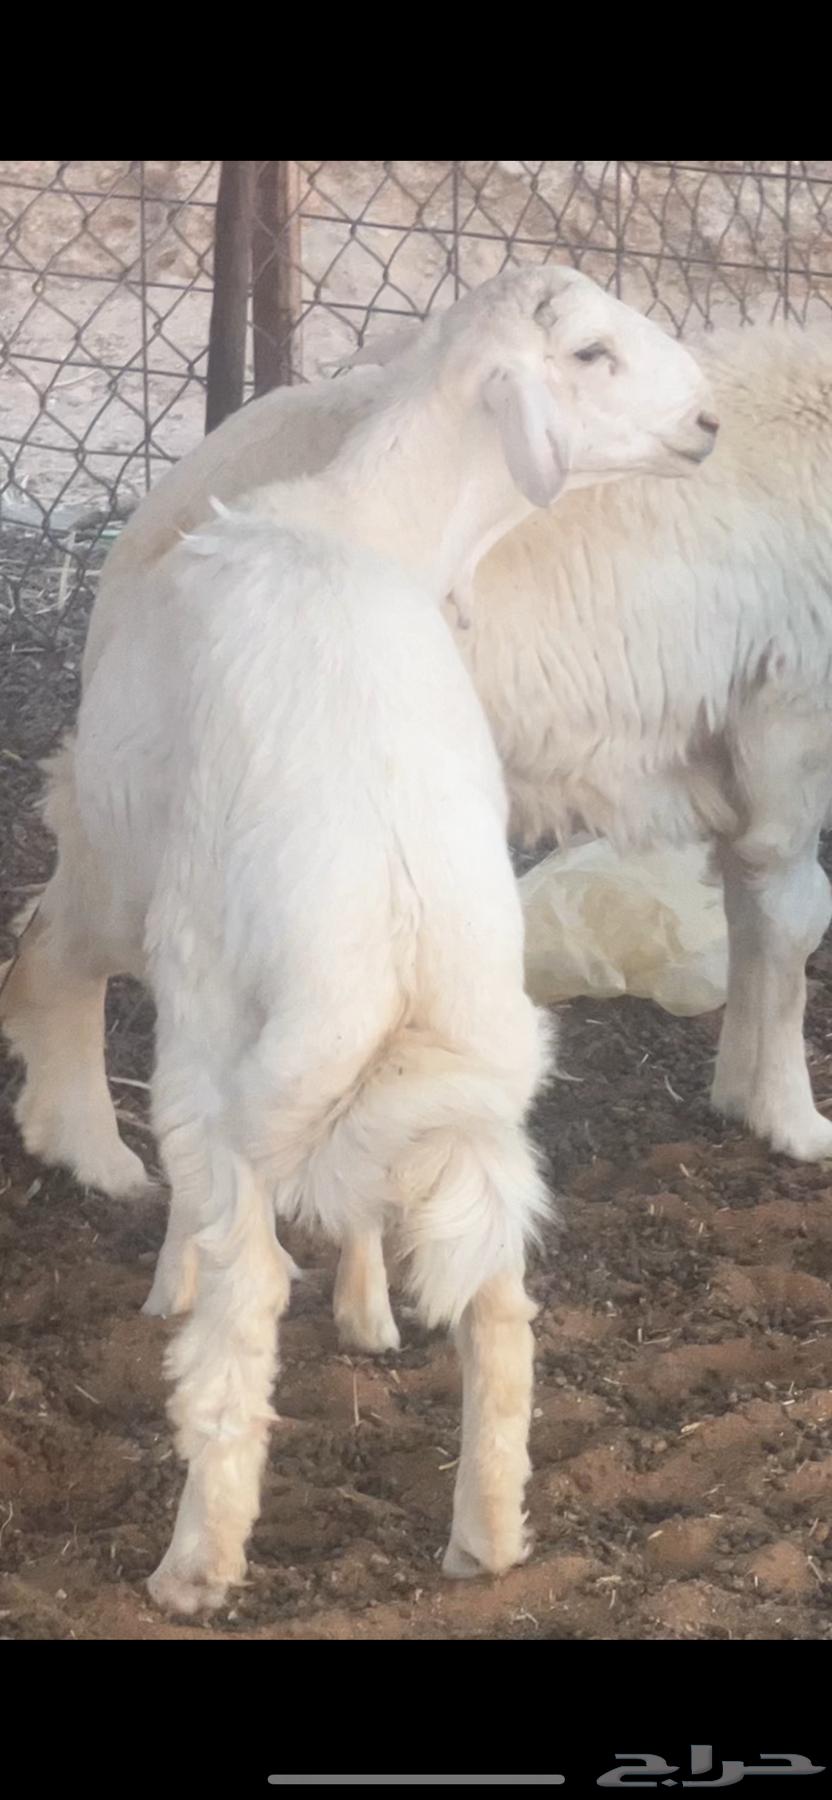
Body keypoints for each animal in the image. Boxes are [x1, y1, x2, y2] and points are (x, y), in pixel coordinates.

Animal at [0, 265, 714, 1613]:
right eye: (592, 352)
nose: (708, 423)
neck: (360, 521)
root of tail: (397, 933)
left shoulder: (156, 893)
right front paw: (371, 1308)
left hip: (230, 1035)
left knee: (233, 1296)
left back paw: (196, 1558)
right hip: (482, 1074)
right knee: (501, 1310)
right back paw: (487, 1533)